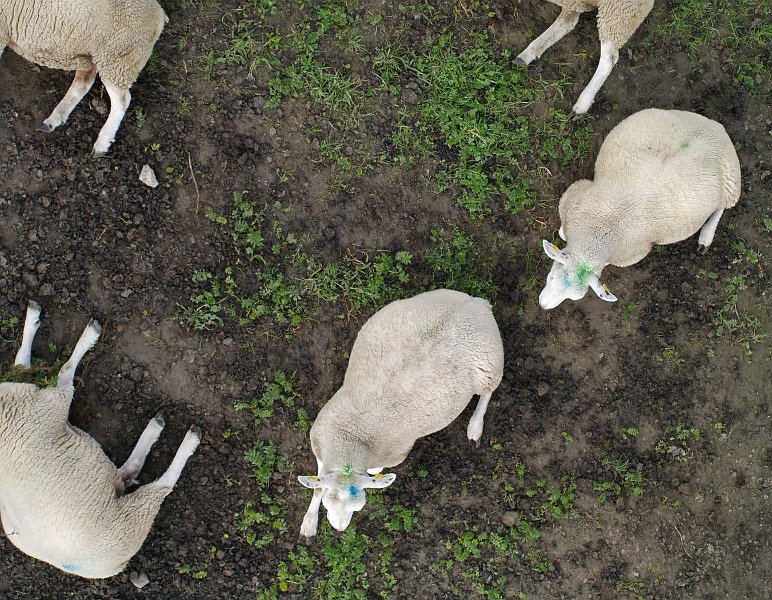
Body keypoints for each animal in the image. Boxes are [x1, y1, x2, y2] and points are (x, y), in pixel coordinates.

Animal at [0, 0, 168, 157]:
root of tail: (159, 14)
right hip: (90, 55)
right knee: (84, 82)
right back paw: (55, 119)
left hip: (118, 58)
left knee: (122, 100)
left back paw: (102, 143)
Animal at [0, 302, 202, 580]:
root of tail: (113, 567)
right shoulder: (52, 404)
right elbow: (64, 372)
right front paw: (90, 336)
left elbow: (22, 363)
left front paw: (32, 317)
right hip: (131, 518)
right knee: (161, 487)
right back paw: (186, 439)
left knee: (127, 473)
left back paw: (153, 428)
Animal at [298, 288, 506, 540]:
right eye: (329, 505)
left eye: (359, 508)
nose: (339, 528)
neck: (353, 439)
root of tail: (477, 304)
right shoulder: (323, 449)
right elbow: (317, 486)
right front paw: (309, 523)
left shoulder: (392, 454)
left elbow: (374, 471)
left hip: (490, 365)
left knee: (487, 392)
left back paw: (475, 426)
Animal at [536, 108, 740, 312]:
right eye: (550, 278)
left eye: (574, 298)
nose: (543, 306)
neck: (601, 230)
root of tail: (717, 127)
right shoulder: (575, 195)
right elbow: (562, 234)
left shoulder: (629, 254)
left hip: (731, 185)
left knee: (720, 208)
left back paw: (705, 238)